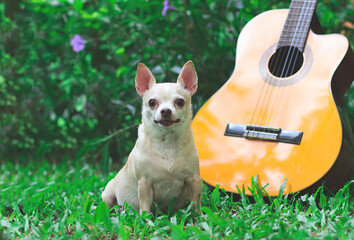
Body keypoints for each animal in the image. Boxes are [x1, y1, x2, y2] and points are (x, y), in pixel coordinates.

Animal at [101, 60, 202, 214]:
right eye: (152, 102)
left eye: (180, 102)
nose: (165, 111)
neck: (167, 142)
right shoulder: (145, 183)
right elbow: (145, 206)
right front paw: (145, 218)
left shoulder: (194, 179)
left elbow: (196, 203)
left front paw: (199, 216)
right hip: (107, 194)